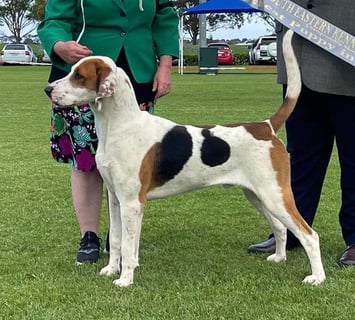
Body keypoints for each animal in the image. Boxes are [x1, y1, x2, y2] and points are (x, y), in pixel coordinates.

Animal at [46, 30, 326, 288]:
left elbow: (127, 246)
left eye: (79, 76)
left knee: (309, 235)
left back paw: (317, 277)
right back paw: (278, 258)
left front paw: (125, 280)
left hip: (275, 195)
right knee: (280, 228)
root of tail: (265, 126)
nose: (48, 89)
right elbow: (116, 241)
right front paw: (111, 270)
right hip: (259, 196)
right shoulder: (115, 199)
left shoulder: (132, 203)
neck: (120, 125)